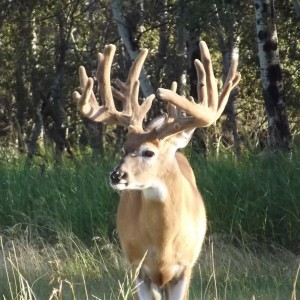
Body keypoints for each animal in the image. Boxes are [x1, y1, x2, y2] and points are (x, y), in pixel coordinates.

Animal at [74, 41, 240, 298]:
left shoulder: (184, 268)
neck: (163, 245)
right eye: (124, 148)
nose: (116, 175)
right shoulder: (139, 268)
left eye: (148, 152)